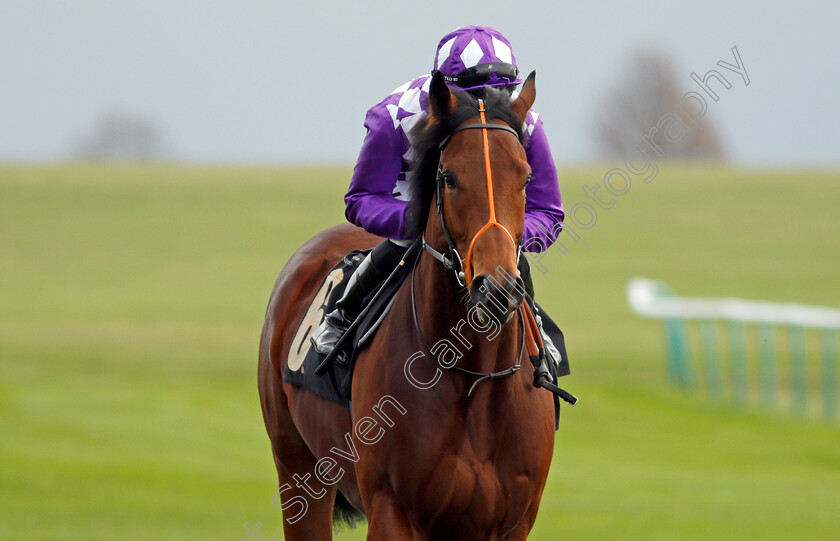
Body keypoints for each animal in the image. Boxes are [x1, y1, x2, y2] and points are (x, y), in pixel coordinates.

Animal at [258, 71, 556, 540]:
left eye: (526, 178)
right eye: (449, 177)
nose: (496, 289)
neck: (473, 376)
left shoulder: (511, 523)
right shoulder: (392, 510)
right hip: (296, 469)